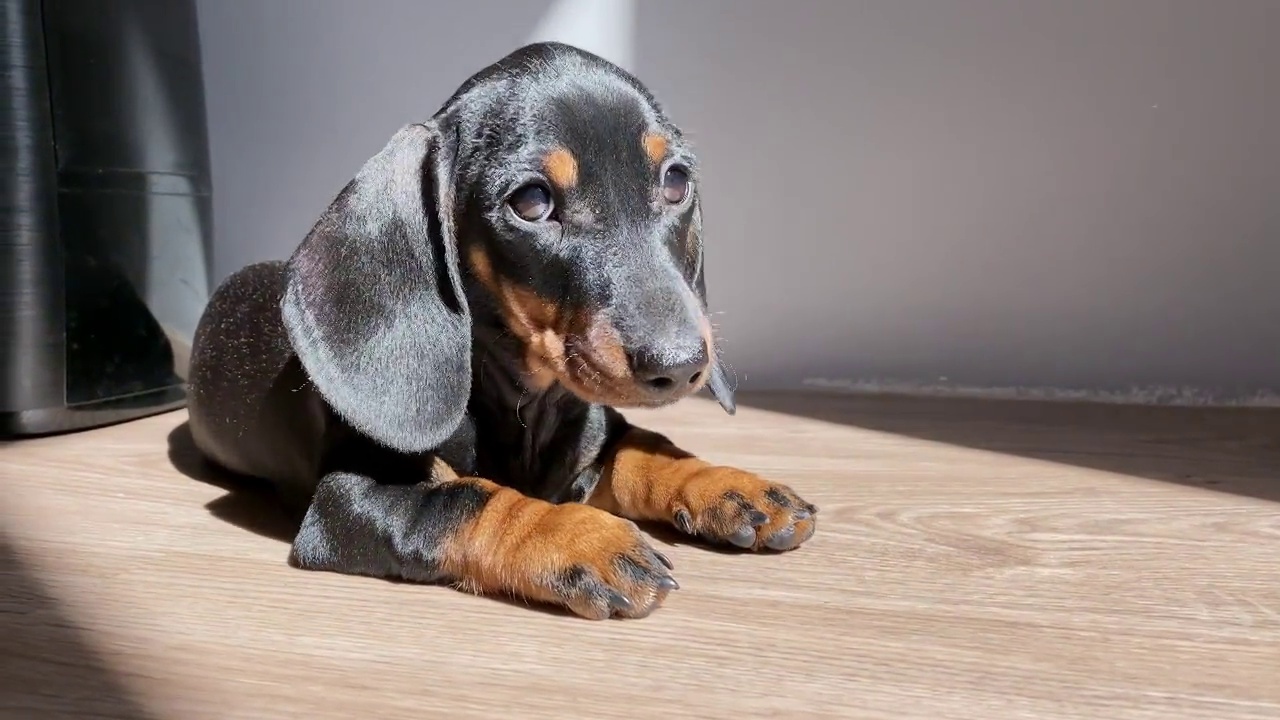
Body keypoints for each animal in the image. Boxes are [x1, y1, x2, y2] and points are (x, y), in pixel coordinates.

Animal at [185, 40, 814, 617]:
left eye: (676, 182)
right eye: (532, 201)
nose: (681, 367)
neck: (529, 400)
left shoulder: (594, 439)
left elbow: (643, 447)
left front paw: (729, 485)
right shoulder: (348, 497)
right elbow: (469, 499)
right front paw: (584, 538)